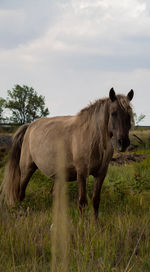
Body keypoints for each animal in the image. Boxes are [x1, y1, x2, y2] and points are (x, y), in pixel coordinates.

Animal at [0, 87, 135, 219]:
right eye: (113, 113)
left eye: (129, 115)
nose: (123, 142)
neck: (92, 137)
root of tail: (29, 126)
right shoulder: (81, 173)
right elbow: (82, 201)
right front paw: (82, 224)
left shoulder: (101, 174)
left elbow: (96, 200)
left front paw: (95, 223)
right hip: (26, 169)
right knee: (20, 193)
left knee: (54, 194)